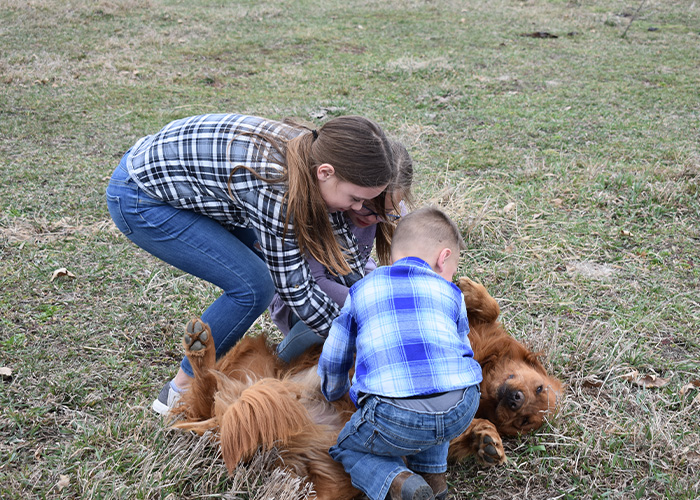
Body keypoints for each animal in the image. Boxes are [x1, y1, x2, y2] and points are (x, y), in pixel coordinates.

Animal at [171, 278, 564, 500]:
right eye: (538, 387)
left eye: (525, 422)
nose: (514, 399)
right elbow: (489, 309)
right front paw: (472, 292)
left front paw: (488, 441)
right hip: (256, 358)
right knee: (207, 393)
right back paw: (200, 352)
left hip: (330, 477)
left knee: (213, 406)